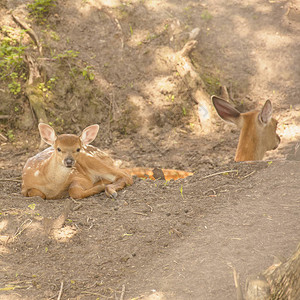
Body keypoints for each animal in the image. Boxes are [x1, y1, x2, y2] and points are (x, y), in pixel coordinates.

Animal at [22, 123, 193, 200]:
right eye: (58, 148)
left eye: (77, 149)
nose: (69, 161)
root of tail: (109, 158)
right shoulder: (25, 187)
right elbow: (36, 194)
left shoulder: (79, 177)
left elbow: (74, 192)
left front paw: (98, 188)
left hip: (93, 161)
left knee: (125, 175)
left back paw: (109, 189)